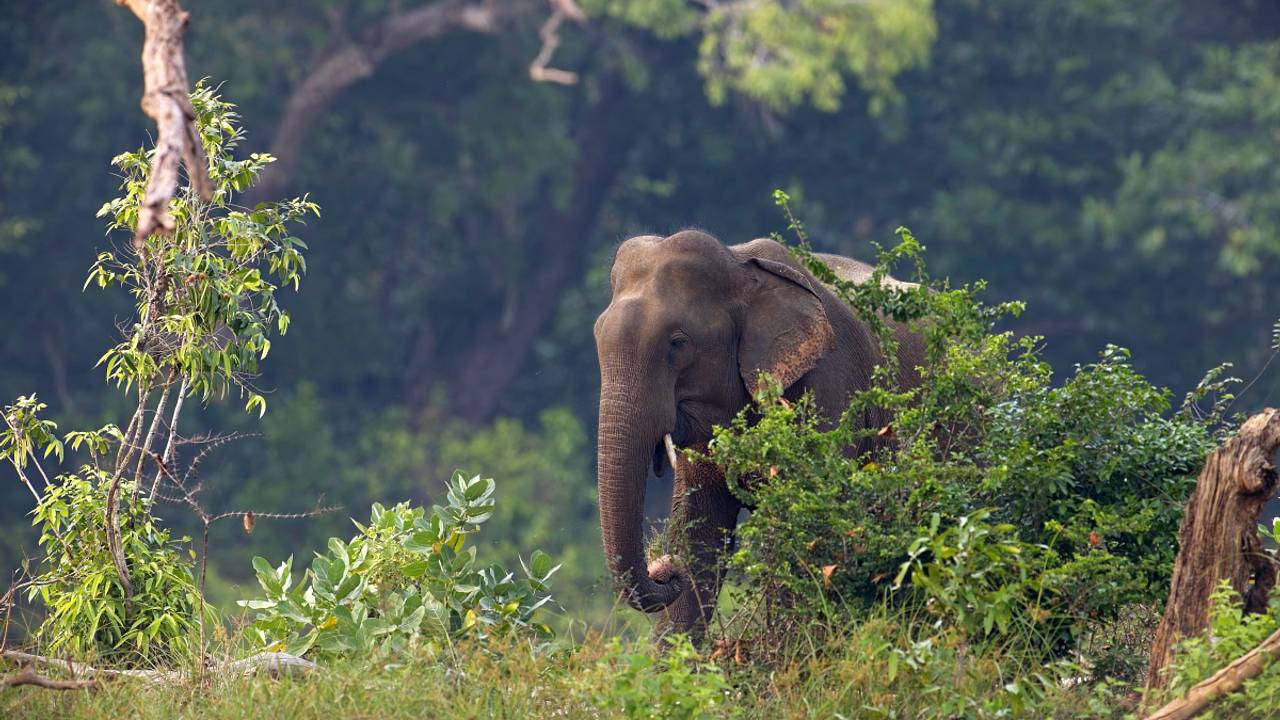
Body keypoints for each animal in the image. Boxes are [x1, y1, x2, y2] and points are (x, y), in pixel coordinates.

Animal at [592, 229, 924, 641]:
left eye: (678, 343)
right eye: (596, 337)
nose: (663, 567)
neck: (741, 267)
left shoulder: (831, 389)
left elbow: (805, 525)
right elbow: (699, 534)